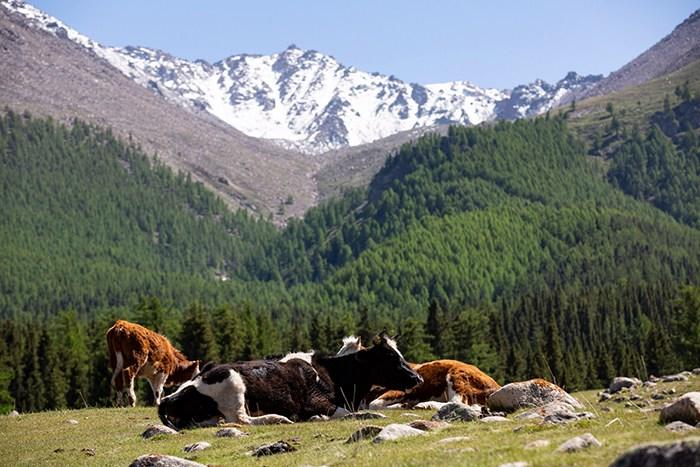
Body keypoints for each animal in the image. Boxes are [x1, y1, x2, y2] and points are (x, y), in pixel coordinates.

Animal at [157, 332, 422, 429]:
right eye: (391, 358)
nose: (417, 377)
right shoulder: (314, 401)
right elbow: (343, 414)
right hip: (232, 384)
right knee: (241, 419)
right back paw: (279, 418)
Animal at [336, 335, 501, 409]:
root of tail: (495, 385)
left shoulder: (399, 391)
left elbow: (375, 404)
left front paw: (402, 405)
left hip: (456, 377)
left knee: (456, 402)